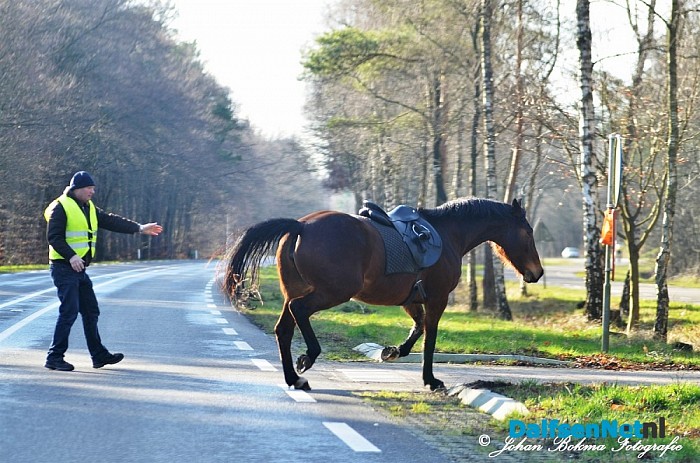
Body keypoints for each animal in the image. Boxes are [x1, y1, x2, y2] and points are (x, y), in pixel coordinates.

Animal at [222, 198, 543, 391]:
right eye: (528, 232)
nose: (536, 273)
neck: (447, 234)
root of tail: (300, 226)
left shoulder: (412, 300)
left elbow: (418, 328)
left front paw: (393, 351)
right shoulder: (436, 299)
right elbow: (430, 337)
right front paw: (430, 379)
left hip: (295, 292)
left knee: (284, 329)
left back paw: (294, 378)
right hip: (331, 292)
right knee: (300, 312)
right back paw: (308, 358)